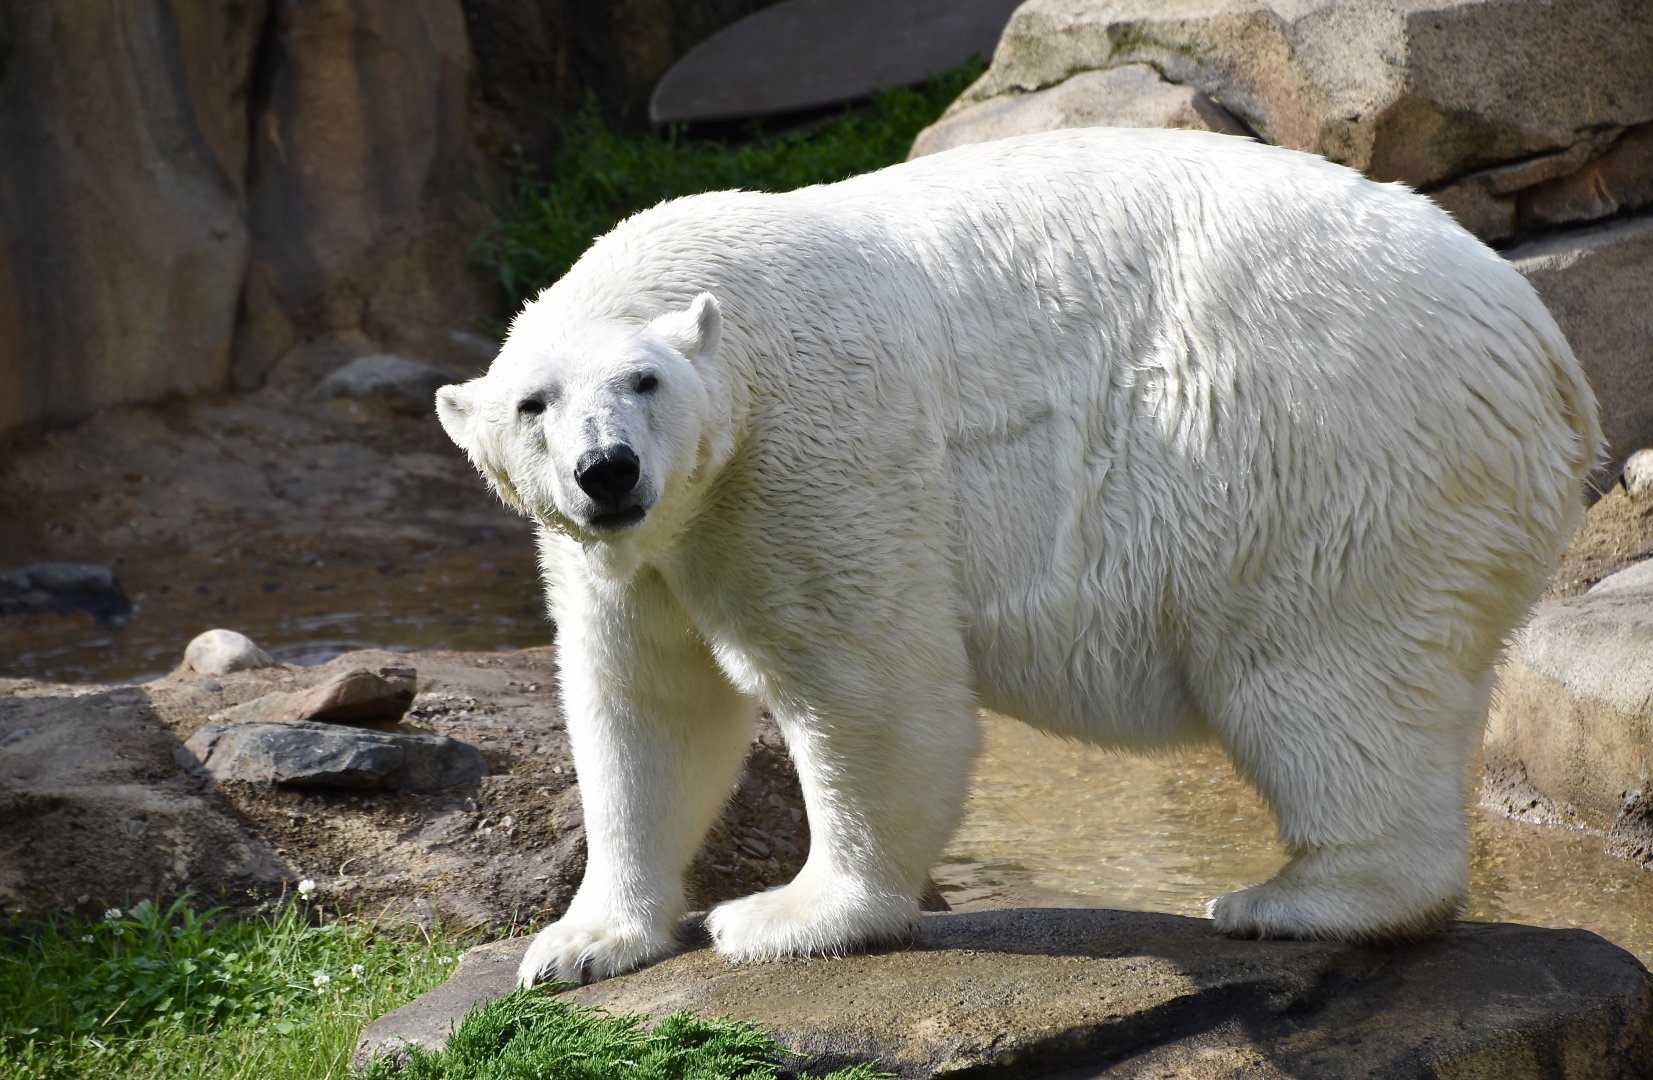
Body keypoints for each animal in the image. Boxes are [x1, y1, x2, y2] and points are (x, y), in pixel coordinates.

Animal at [435, 127, 1602, 988]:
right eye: (535, 404)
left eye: (644, 381)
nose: (608, 470)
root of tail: (1545, 354)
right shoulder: (632, 548)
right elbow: (645, 708)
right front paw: (578, 945)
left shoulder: (813, 453)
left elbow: (869, 689)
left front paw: (787, 916)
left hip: (1332, 451)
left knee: (1323, 676)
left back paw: (1291, 899)